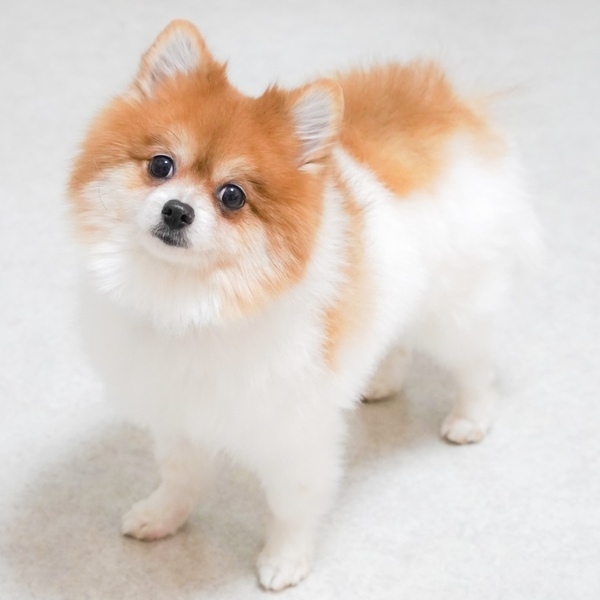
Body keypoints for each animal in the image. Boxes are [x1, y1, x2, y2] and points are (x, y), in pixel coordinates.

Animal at [67, 19, 540, 590]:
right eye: (161, 165)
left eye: (232, 196)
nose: (177, 210)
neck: (193, 298)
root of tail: (449, 106)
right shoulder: (180, 414)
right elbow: (180, 476)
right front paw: (162, 516)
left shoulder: (296, 432)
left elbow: (291, 504)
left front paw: (285, 559)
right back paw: (382, 381)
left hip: (453, 310)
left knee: (474, 364)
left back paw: (470, 417)